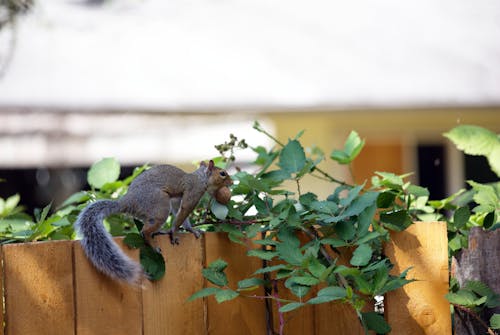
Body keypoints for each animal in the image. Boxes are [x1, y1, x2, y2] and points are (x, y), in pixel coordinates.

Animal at [74, 161, 232, 286]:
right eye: (222, 173)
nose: (231, 183)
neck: (201, 178)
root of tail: (127, 201)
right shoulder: (193, 192)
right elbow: (183, 213)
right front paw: (175, 233)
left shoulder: (177, 200)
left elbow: (180, 214)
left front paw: (190, 230)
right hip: (161, 205)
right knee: (145, 231)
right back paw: (155, 244)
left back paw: (160, 232)